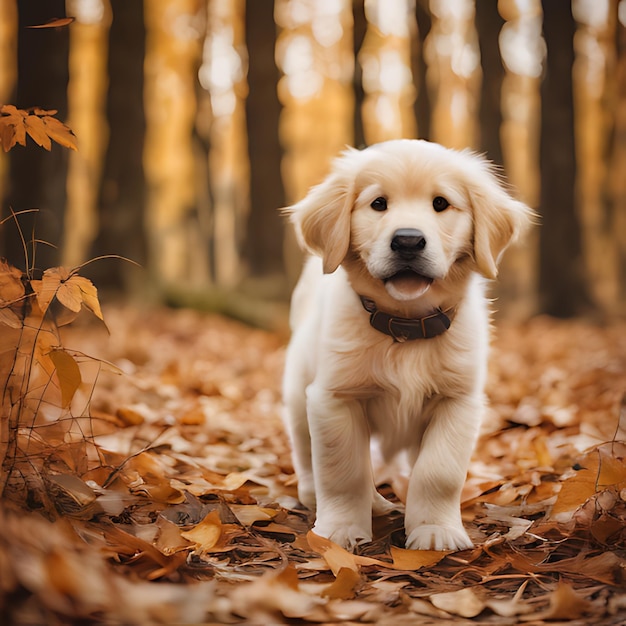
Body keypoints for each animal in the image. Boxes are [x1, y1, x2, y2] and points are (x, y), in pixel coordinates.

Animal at [282, 139, 532, 548]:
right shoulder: (334, 397)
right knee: (305, 450)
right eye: (378, 203)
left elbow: (439, 472)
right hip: (297, 390)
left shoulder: (458, 401)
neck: (407, 325)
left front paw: (435, 530)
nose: (408, 241)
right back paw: (325, 495)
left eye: (441, 203)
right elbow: (342, 470)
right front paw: (340, 529)